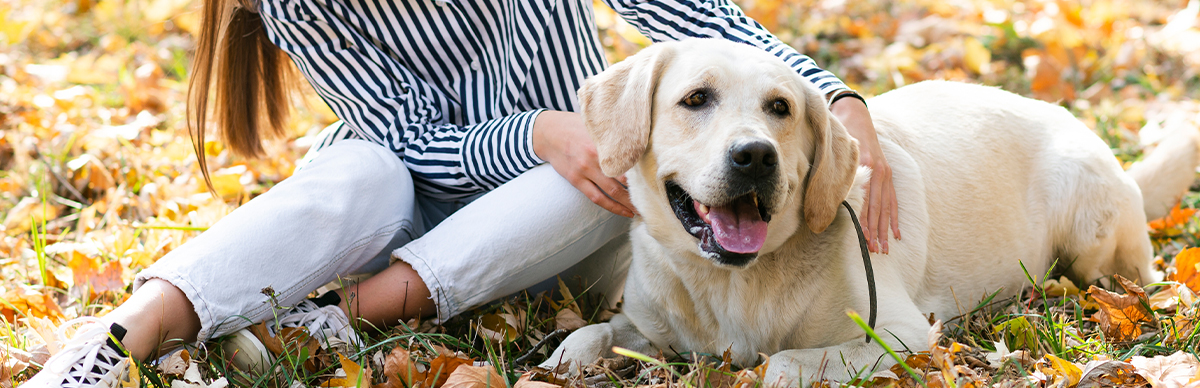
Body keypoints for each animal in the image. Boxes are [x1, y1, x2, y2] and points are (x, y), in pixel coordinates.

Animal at [542, 37, 1200, 384]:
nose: (755, 156)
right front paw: (560, 359)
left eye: (780, 108)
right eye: (695, 99)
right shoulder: (649, 329)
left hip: (1089, 232)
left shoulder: (898, 334)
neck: (731, 281)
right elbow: (588, 337)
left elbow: (783, 362)